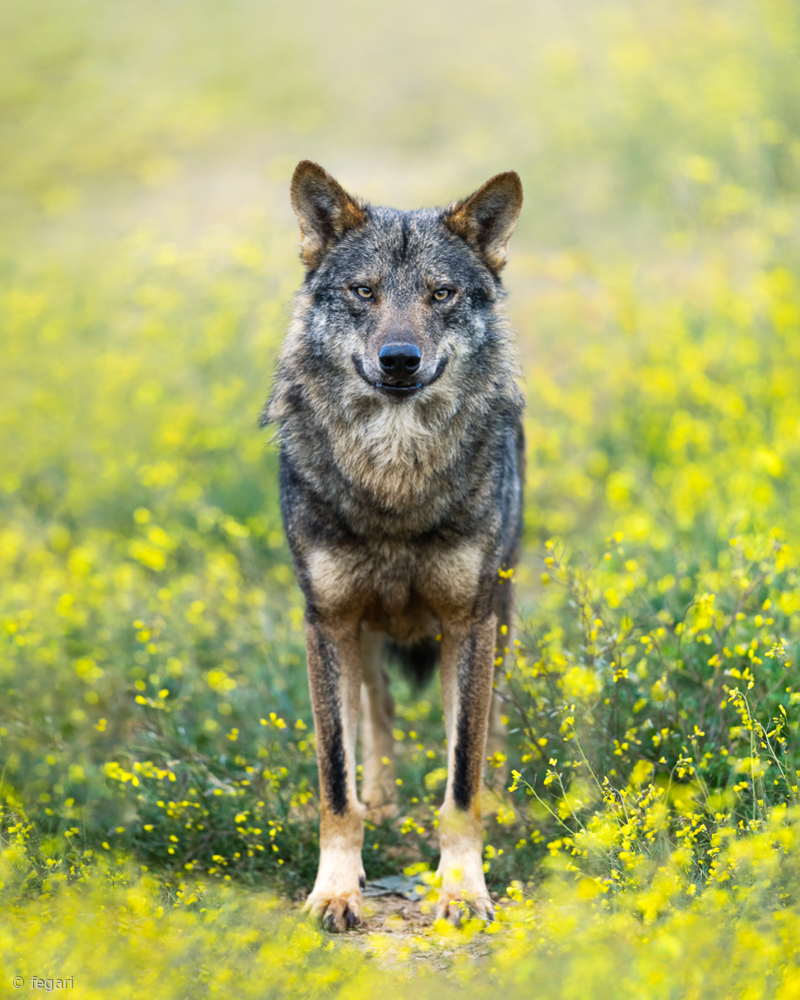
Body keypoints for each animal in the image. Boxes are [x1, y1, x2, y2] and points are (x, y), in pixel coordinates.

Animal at [262, 160, 524, 932]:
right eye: (364, 292)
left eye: (440, 294)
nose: (400, 359)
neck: (395, 485)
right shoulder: (328, 622)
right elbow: (335, 778)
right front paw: (335, 890)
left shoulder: (470, 621)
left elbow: (462, 775)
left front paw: (462, 889)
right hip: (365, 633)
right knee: (374, 713)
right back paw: (381, 799)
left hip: (498, 614)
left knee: (485, 725)